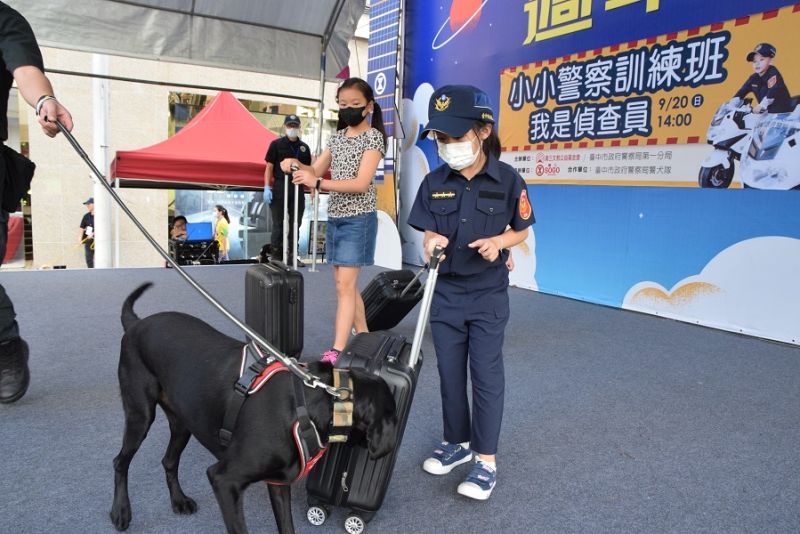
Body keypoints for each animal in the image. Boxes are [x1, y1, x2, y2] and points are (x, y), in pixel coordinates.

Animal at [111, 282, 398, 532]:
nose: (390, 447)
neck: (310, 405)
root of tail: (136, 323)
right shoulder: (225, 480)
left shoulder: (278, 482)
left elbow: (287, 527)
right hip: (140, 415)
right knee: (120, 462)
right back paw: (120, 512)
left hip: (182, 424)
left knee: (169, 461)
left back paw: (178, 501)